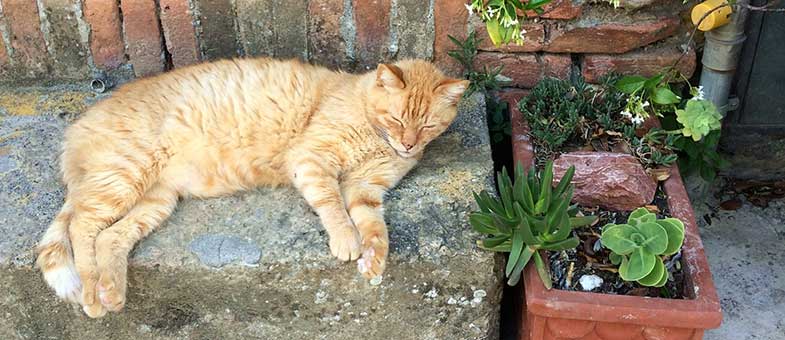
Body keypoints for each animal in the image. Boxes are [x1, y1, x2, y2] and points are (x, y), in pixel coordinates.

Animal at [33, 57, 466, 318]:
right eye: (397, 119)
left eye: (427, 125)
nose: (408, 145)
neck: (374, 133)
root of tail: (79, 125)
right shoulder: (311, 160)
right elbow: (333, 206)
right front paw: (346, 240)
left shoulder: (366, 187)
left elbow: (375, 227)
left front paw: (373, 259)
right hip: (123, 176)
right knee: (82, 226)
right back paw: (92, 295)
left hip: (155, 200)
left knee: (109, 237)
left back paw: (112, 291)